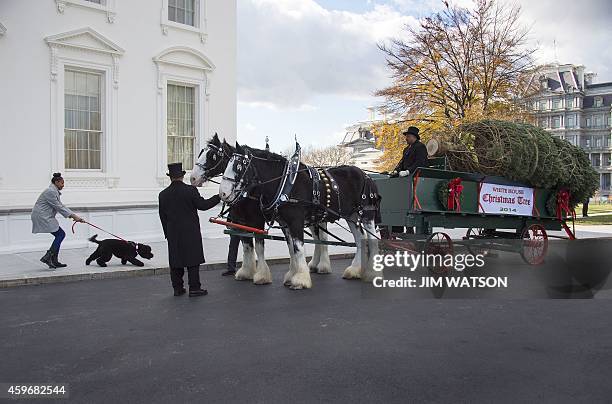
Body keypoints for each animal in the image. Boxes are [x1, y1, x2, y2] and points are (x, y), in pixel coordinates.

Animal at [220, 140, 380, 288]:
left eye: (238, 166)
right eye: (226, 164)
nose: (223, 193)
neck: (286, 183)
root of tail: (366, 175)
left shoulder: (295, 220)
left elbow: (298, 248)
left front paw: (301, 279)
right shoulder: (285, 223)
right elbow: (291, 248)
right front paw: (292, 274)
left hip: (367, 213)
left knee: (372, 239)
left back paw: (372, 273)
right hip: (351, 216)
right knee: (360, 238)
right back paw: (355, 270)